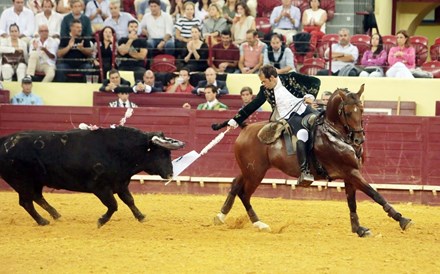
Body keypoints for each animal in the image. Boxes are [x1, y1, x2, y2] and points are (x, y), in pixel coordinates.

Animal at [0, 126, 184, 227]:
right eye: (161, 153)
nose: (170, 173)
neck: (119, 151)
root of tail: (4, 141)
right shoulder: (100, 188)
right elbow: (113, 205)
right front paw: (100, 221)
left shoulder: (121, 184)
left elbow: (129, 200)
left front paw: (141, 217)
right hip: (21, 182)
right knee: (26, 202)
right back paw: (43, 221)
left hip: (37, 181)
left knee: (37, 197)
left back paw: (56, 215)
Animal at [213, 84, 412, 237]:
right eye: (347, 112)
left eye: (362, 110)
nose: (359, 139)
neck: (334, 132)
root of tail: (246, 128)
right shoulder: (351, 172)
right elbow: (374, 193)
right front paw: (402, 219)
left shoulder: (350, 175)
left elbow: (352, 201)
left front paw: (358, 229)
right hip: (255, 173)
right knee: (244, 193)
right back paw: (258, 223)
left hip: (249, 170)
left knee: (235, 184)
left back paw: (222, 216)